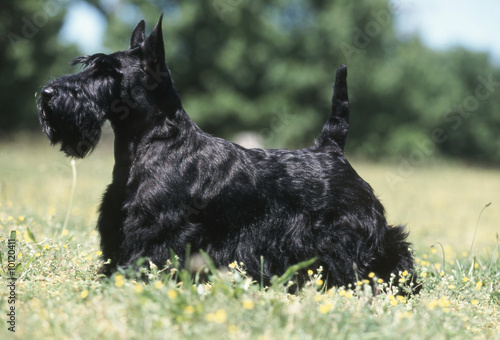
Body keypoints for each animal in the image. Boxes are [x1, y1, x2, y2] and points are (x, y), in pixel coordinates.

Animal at [37, 15, 418, 292]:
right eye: (89, 65)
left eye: (109, 72)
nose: (47, 93)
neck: (153, 143)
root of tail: (331, 149)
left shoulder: (155, 230)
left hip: (359, 233)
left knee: (394, 250)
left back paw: (397, 285)